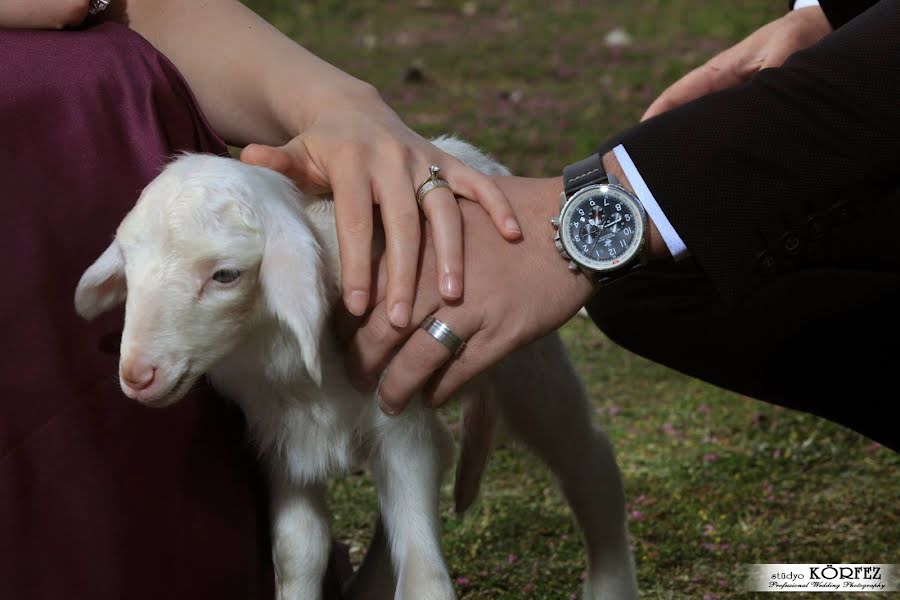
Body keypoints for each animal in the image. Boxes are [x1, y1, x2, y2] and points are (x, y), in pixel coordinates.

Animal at [74, 138, 636, 596]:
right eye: (129, 265)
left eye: (225, 275)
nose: (137, 376)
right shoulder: (285, 440)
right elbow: (298, 554)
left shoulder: (399, 424)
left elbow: (425, 576)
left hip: (526, 361)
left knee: (589, 459)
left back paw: (610, 584)